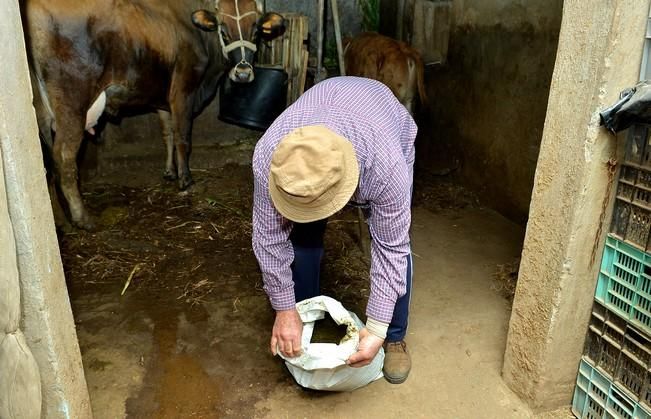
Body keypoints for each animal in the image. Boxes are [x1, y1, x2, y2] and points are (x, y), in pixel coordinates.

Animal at [23, 0, 282, 230]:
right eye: (223, 29)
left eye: (257, 30)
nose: (243, 73)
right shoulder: (183, 90)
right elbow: (182, 137)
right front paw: (185, 180)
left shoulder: (163, 100)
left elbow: (167, 134)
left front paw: (169, 172)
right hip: (73, 103)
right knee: (64, 157)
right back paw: (83, 218)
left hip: (41, 112)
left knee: (46, 159)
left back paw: (58, 218)